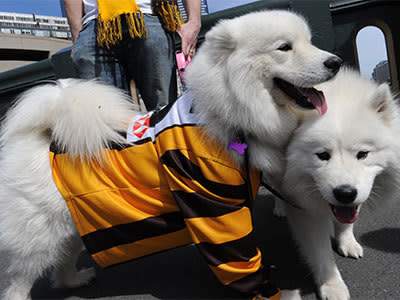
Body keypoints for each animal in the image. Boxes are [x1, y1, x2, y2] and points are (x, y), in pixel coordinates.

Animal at [0, 9, 340, 300]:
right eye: (284, 47)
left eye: (309, 42)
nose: (335, 62)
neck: (230, 114)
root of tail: (40, 136)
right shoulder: (213, 205)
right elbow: (239, 256)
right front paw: (272, 292)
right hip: (40, 236)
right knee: (20, 280)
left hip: (73, 223)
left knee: (61, 263)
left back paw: (75, 280)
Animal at [282, 68, 400, 300]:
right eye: (322, 155)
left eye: (363, 154)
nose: (345, 193)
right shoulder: (304, 209)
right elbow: (320, 253)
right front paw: (332, 286)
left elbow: (346, 222)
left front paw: (347, 242)